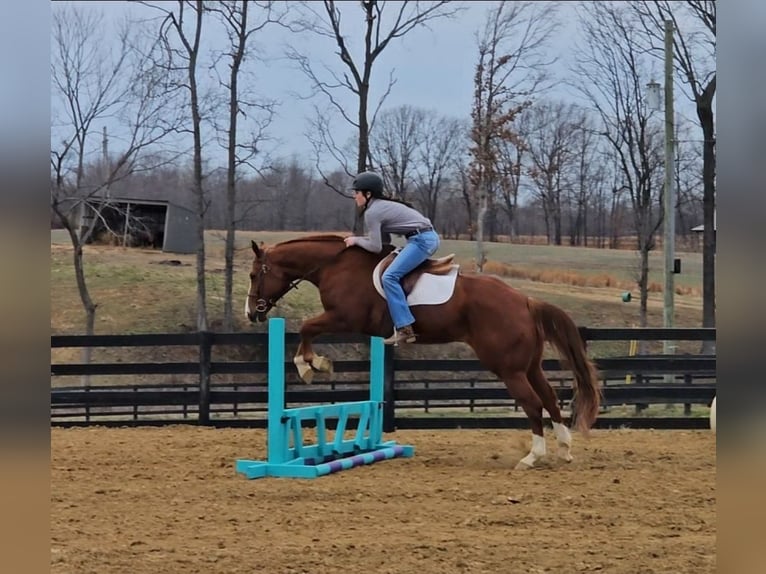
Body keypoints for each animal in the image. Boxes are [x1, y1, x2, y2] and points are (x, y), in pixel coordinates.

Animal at [245, 234, 601, 469]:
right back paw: (564, 449)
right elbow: (308, 329)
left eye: (252, 274)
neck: (335, 264)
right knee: (549, 398)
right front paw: (315, 363)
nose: (251, 313)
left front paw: (311, 365)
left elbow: (307, 328)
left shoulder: (344, 317)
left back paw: (532, 457)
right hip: (528, 365)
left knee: (532, 403)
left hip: (508, 368)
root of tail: (525, 301)